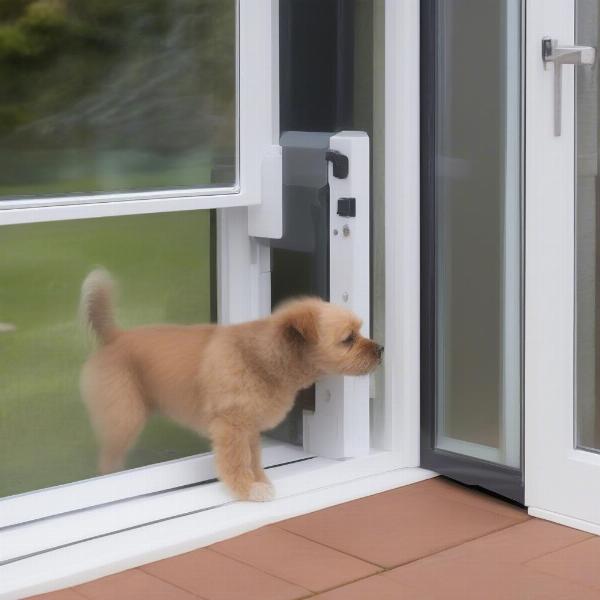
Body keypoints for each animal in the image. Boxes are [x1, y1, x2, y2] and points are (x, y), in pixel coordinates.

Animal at [78, 270, 384, 500]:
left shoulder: (249, 427)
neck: (259, 357)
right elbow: (237, 461)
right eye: (348, 339)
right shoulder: (231, 426)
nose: (381, 349)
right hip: (125, 417)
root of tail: (115, 337)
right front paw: (247, 489)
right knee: (108, 460)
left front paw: (259, 481)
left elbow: (254, 458)